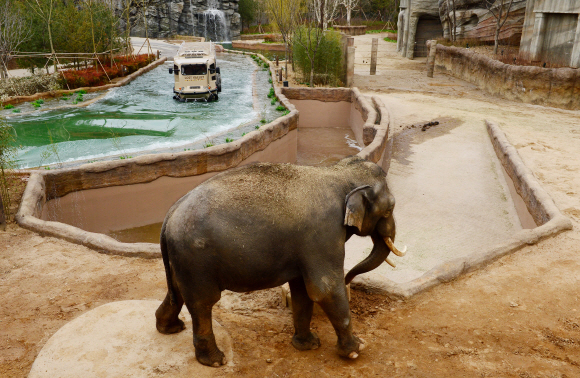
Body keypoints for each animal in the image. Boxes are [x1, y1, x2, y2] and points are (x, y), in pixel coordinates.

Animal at [156, 155, 406, 368]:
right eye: (389, 209)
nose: (348, 277)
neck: (337, 172)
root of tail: (169, 215)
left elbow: (302, 291)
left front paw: (308, 345)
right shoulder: (323, 233)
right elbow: (324, 290)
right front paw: (357, 349)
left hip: (183, 259)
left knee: (177, 291)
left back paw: (170, 328)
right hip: (195, 259)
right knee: (202, 302)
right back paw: (216, 361)